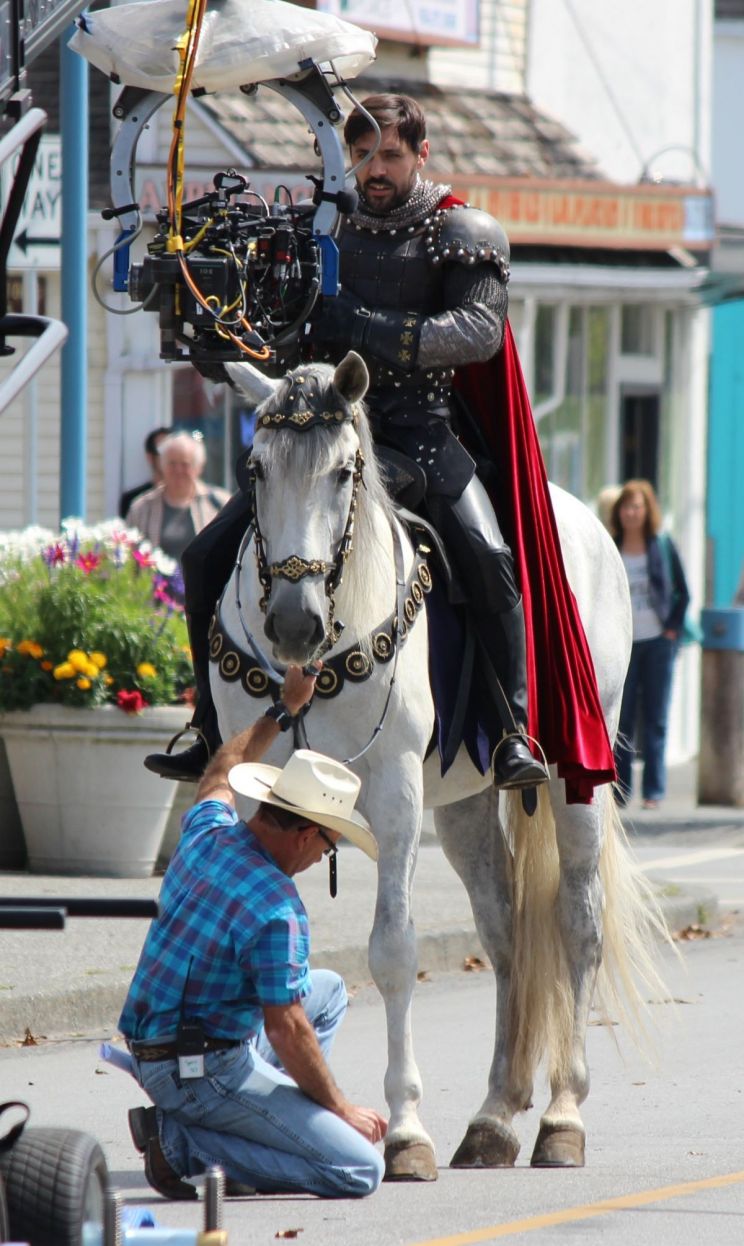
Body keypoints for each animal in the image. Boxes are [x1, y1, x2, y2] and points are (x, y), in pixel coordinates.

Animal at [210, 351, 667, 1176]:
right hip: (461, 808)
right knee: (505, 932)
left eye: (344, 472)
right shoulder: (249, 787)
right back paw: (495, 1117)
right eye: (254, 468)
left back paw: (562, 1116)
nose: (293, 623)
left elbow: (394, 951)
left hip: (575, 780)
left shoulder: (394, 804)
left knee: (577, 922)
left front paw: (403, 1130)